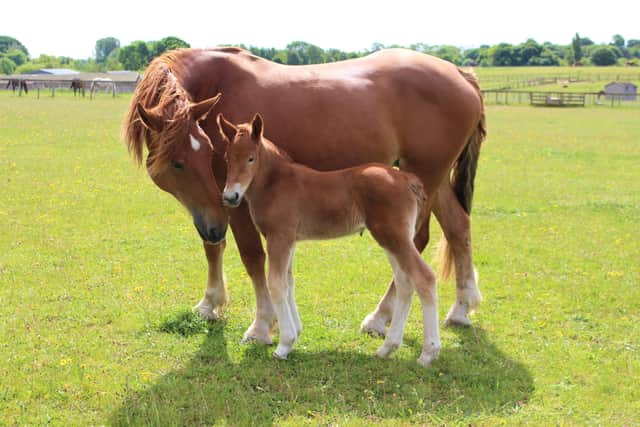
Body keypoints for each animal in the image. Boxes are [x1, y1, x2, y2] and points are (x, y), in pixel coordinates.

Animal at [217, 113, 441, 366]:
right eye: (227, 158)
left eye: (251, 158)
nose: (230, 196)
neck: (277, 184)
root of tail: (405, 179)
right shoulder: (290, 239)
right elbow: (289, 282)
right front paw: (296, 334)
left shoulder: (279, 237)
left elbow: (276, 284)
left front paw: (284, 345)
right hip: (392, 239)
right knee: (405, 282)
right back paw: (387, 348)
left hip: (395, 237)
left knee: (424, 277)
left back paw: (428, 353)